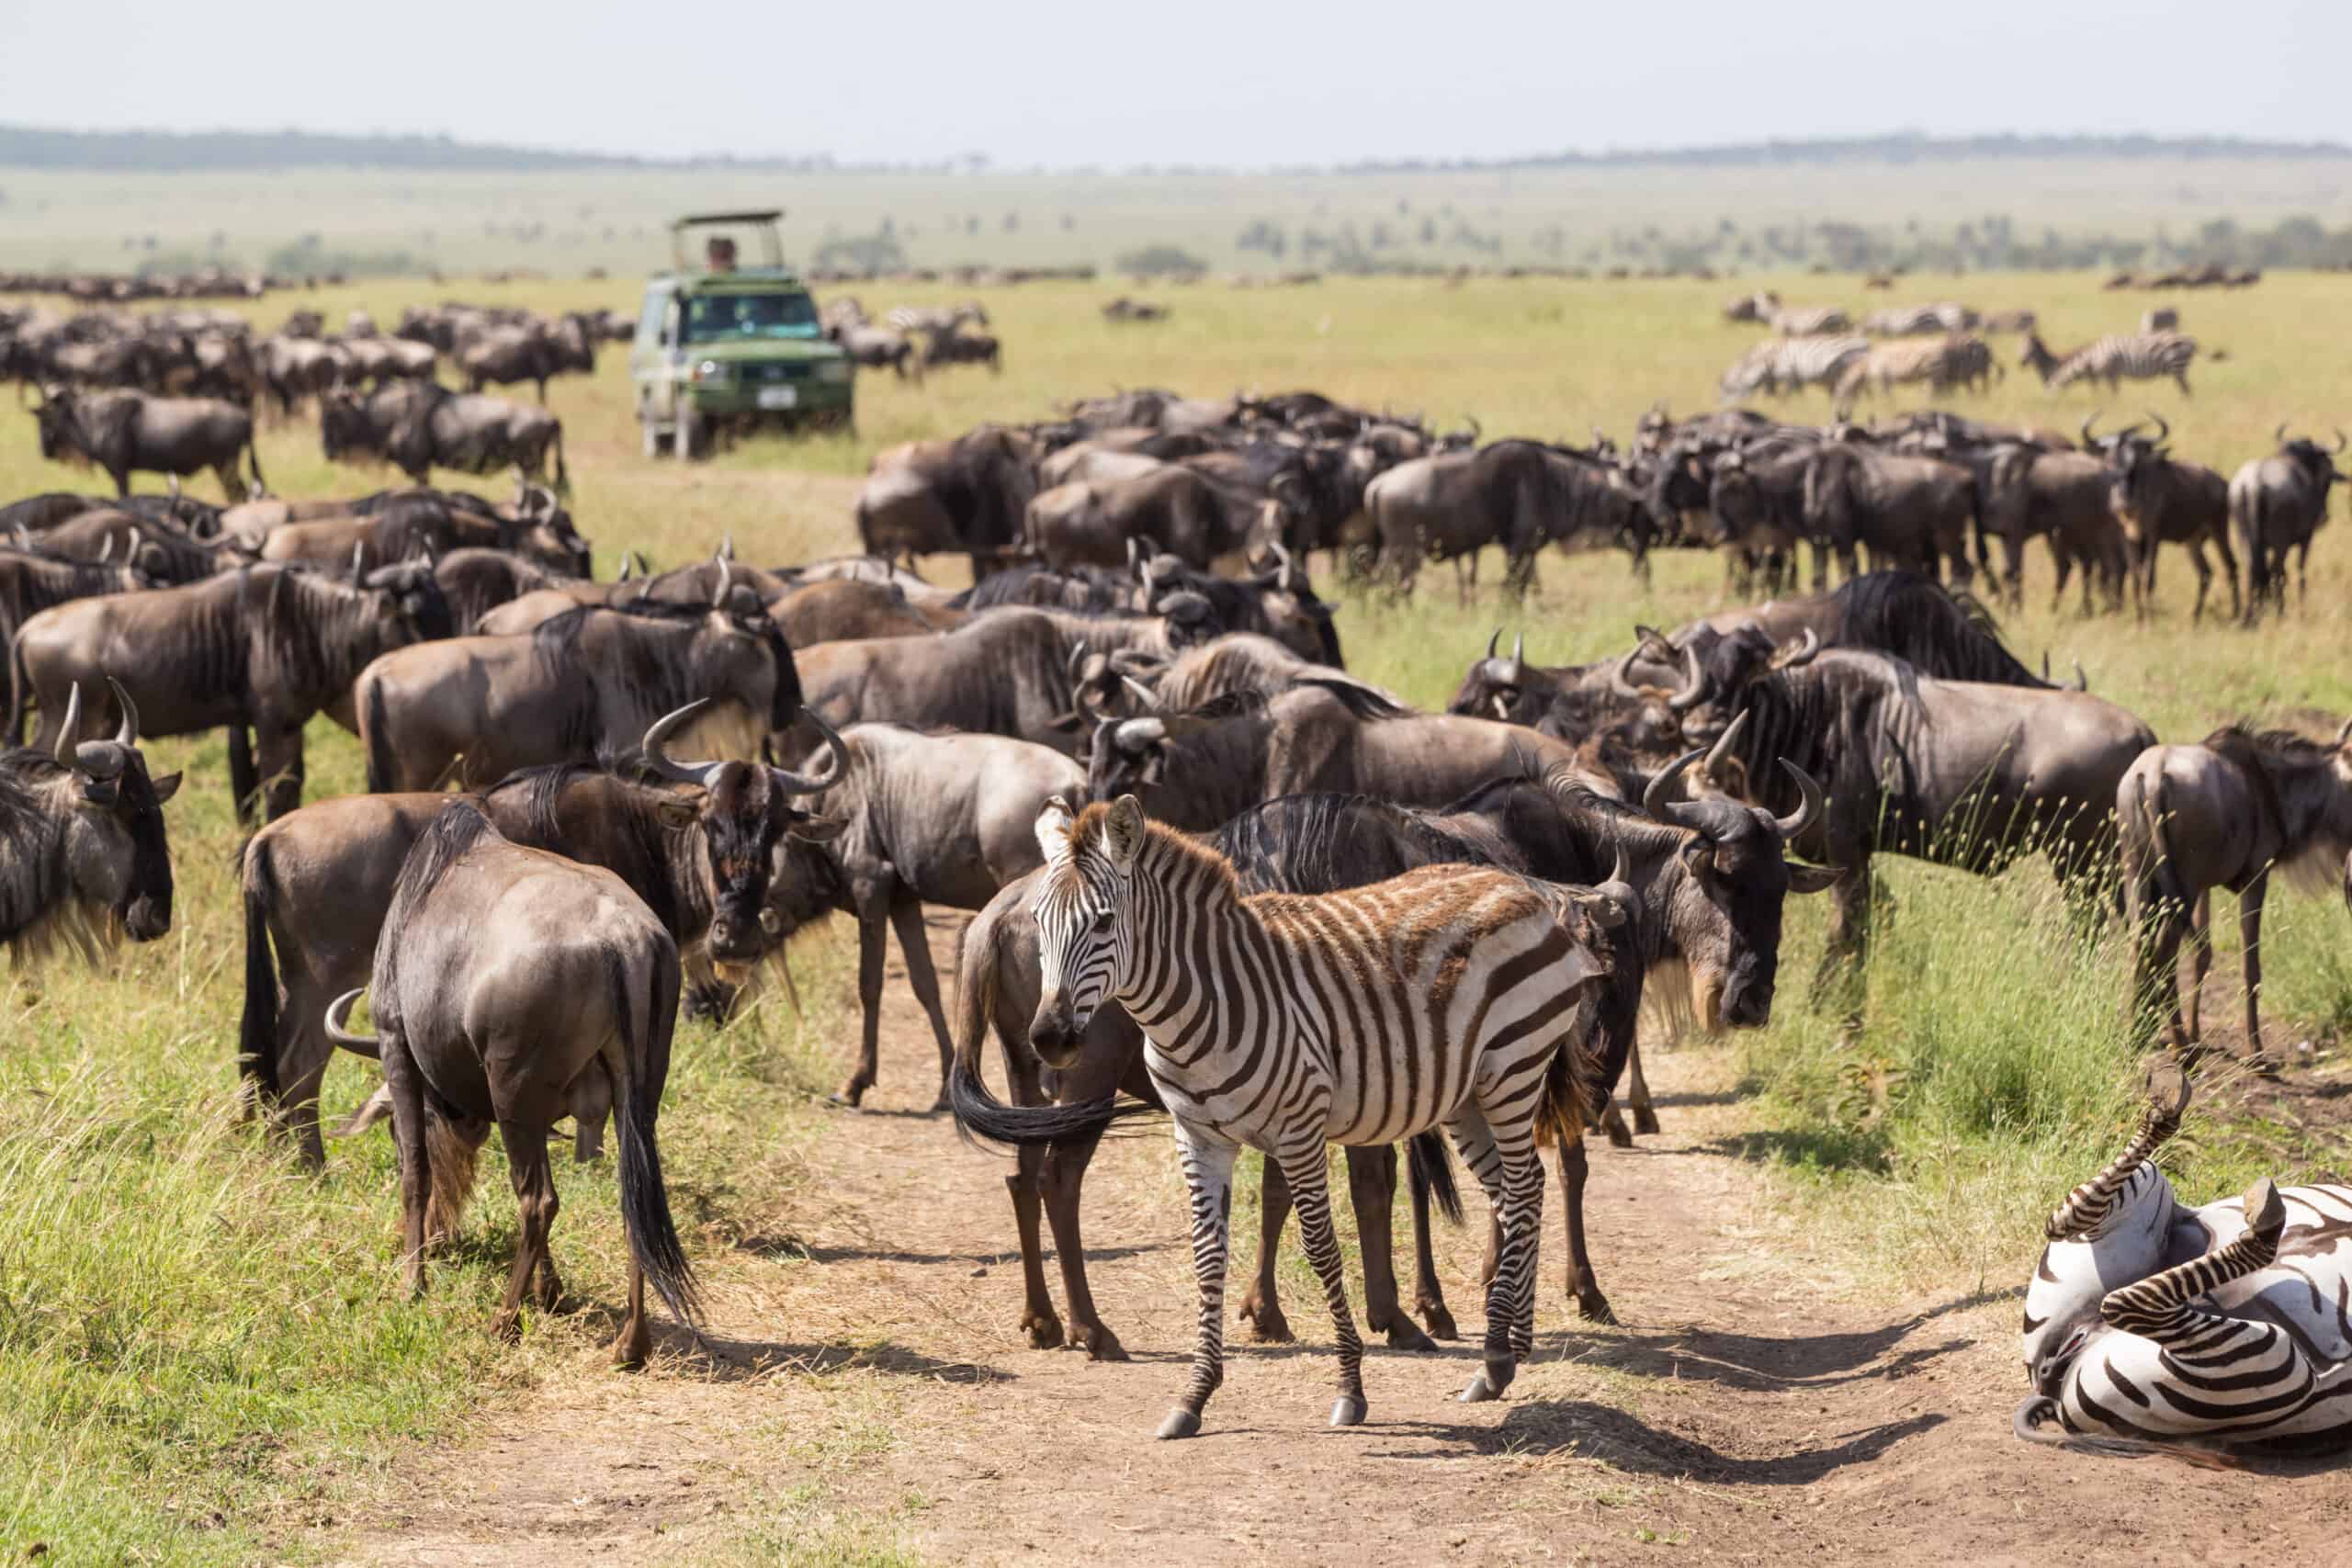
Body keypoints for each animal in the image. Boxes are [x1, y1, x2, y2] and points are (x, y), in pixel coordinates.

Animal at [953, 794, 1631, 1439]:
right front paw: (1194, 1396)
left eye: (1102, 922)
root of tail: (1510, 884)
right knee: (1519, 1189)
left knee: (1522, 1186)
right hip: (1470, 1094)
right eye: (1041, 924)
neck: (1201, 1000)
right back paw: (1507, 1350)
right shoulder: (1198, 1136)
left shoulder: (1301, 1125)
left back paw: (1497, 1353)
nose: (1053, 1037)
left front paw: (1351, 1385)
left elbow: (1323, 1243)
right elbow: (1209, 1251)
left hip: (1512, 1071)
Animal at [2018, 330, 2197, 395]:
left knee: (2187, 390)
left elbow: (2111, 393)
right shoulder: (2104, 375)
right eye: (2019, 347)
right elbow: (2107, 392)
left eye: (2051, 389)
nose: (2020, 362)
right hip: (2178, 369)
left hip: (2177, 366)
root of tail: (2191, 341)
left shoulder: (2109, 372)